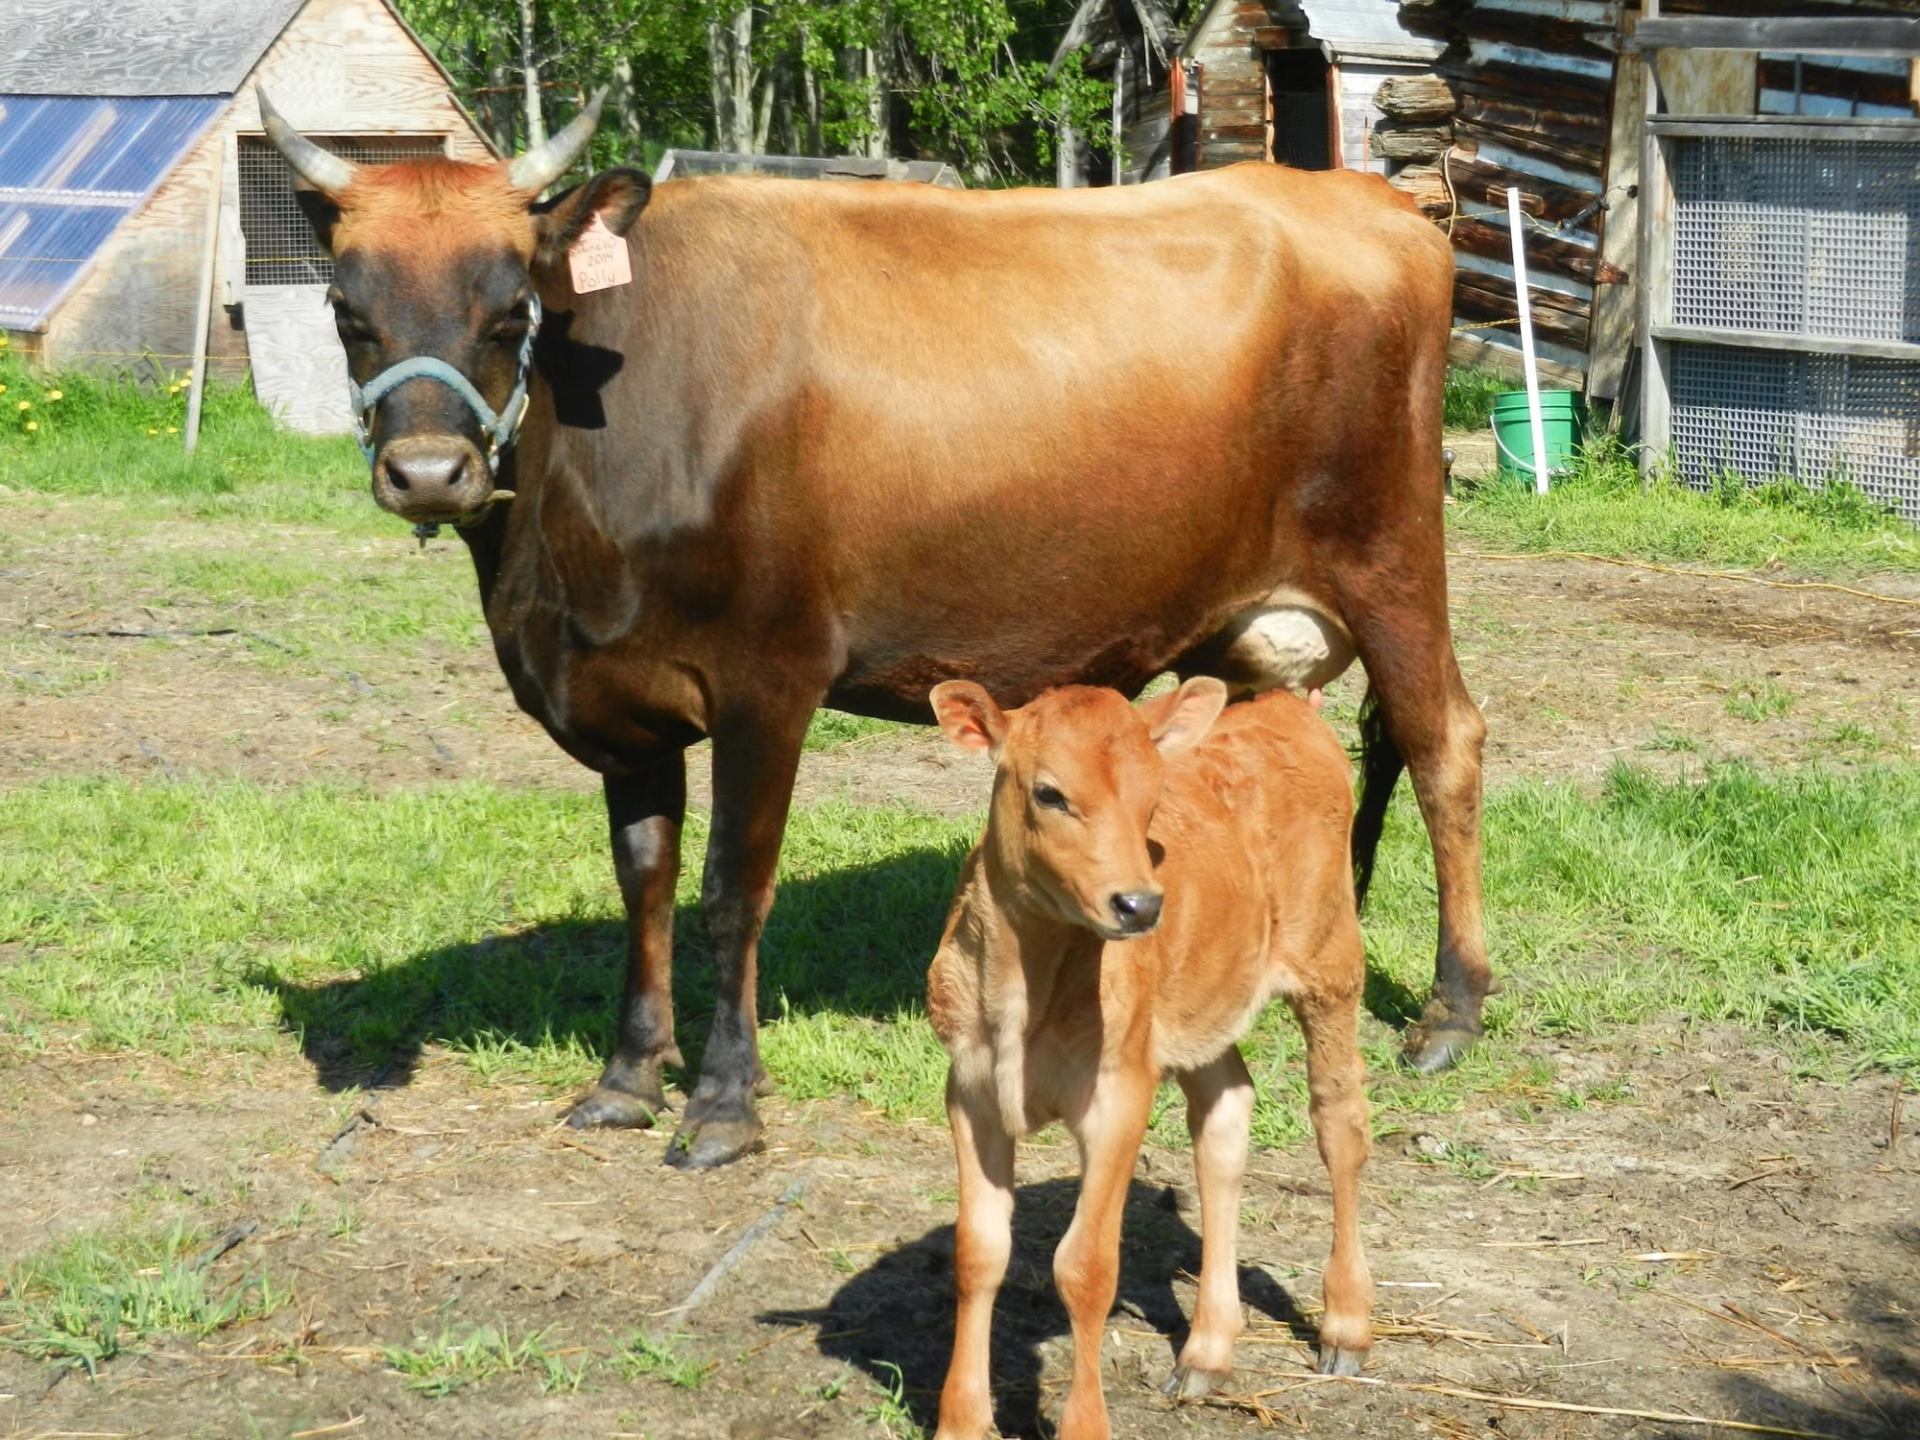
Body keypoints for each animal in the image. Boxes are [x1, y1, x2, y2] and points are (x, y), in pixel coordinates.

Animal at [258, 90, 1487, 1171]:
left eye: (511, 308)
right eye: (347, 314)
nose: (428, 473)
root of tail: (1364, 201)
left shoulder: (769, 676)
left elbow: (730, 890)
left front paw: (723, 1103)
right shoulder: (624, 693)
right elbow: (644, 878)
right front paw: (626, 1077)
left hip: (1391, 558)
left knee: (1443, 746)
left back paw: (1451, 1011)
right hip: (1248, 626)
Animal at [923, 677, 1371, 1440]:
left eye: (1153, 794)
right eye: (1050, 793)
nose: (1138, 904)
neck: (1025, 992)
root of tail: (1287, 706)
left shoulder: (1119, 1091)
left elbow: (1086, 1267)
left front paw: (1083, 1425)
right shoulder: (971, 1088)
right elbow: (978, 1251)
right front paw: (961, 1421)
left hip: (1331, 958)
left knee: (1339, 1122)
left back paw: (1345, 1324)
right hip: (1200, 1004)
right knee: (1225, 1115)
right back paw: (1207, 1350)